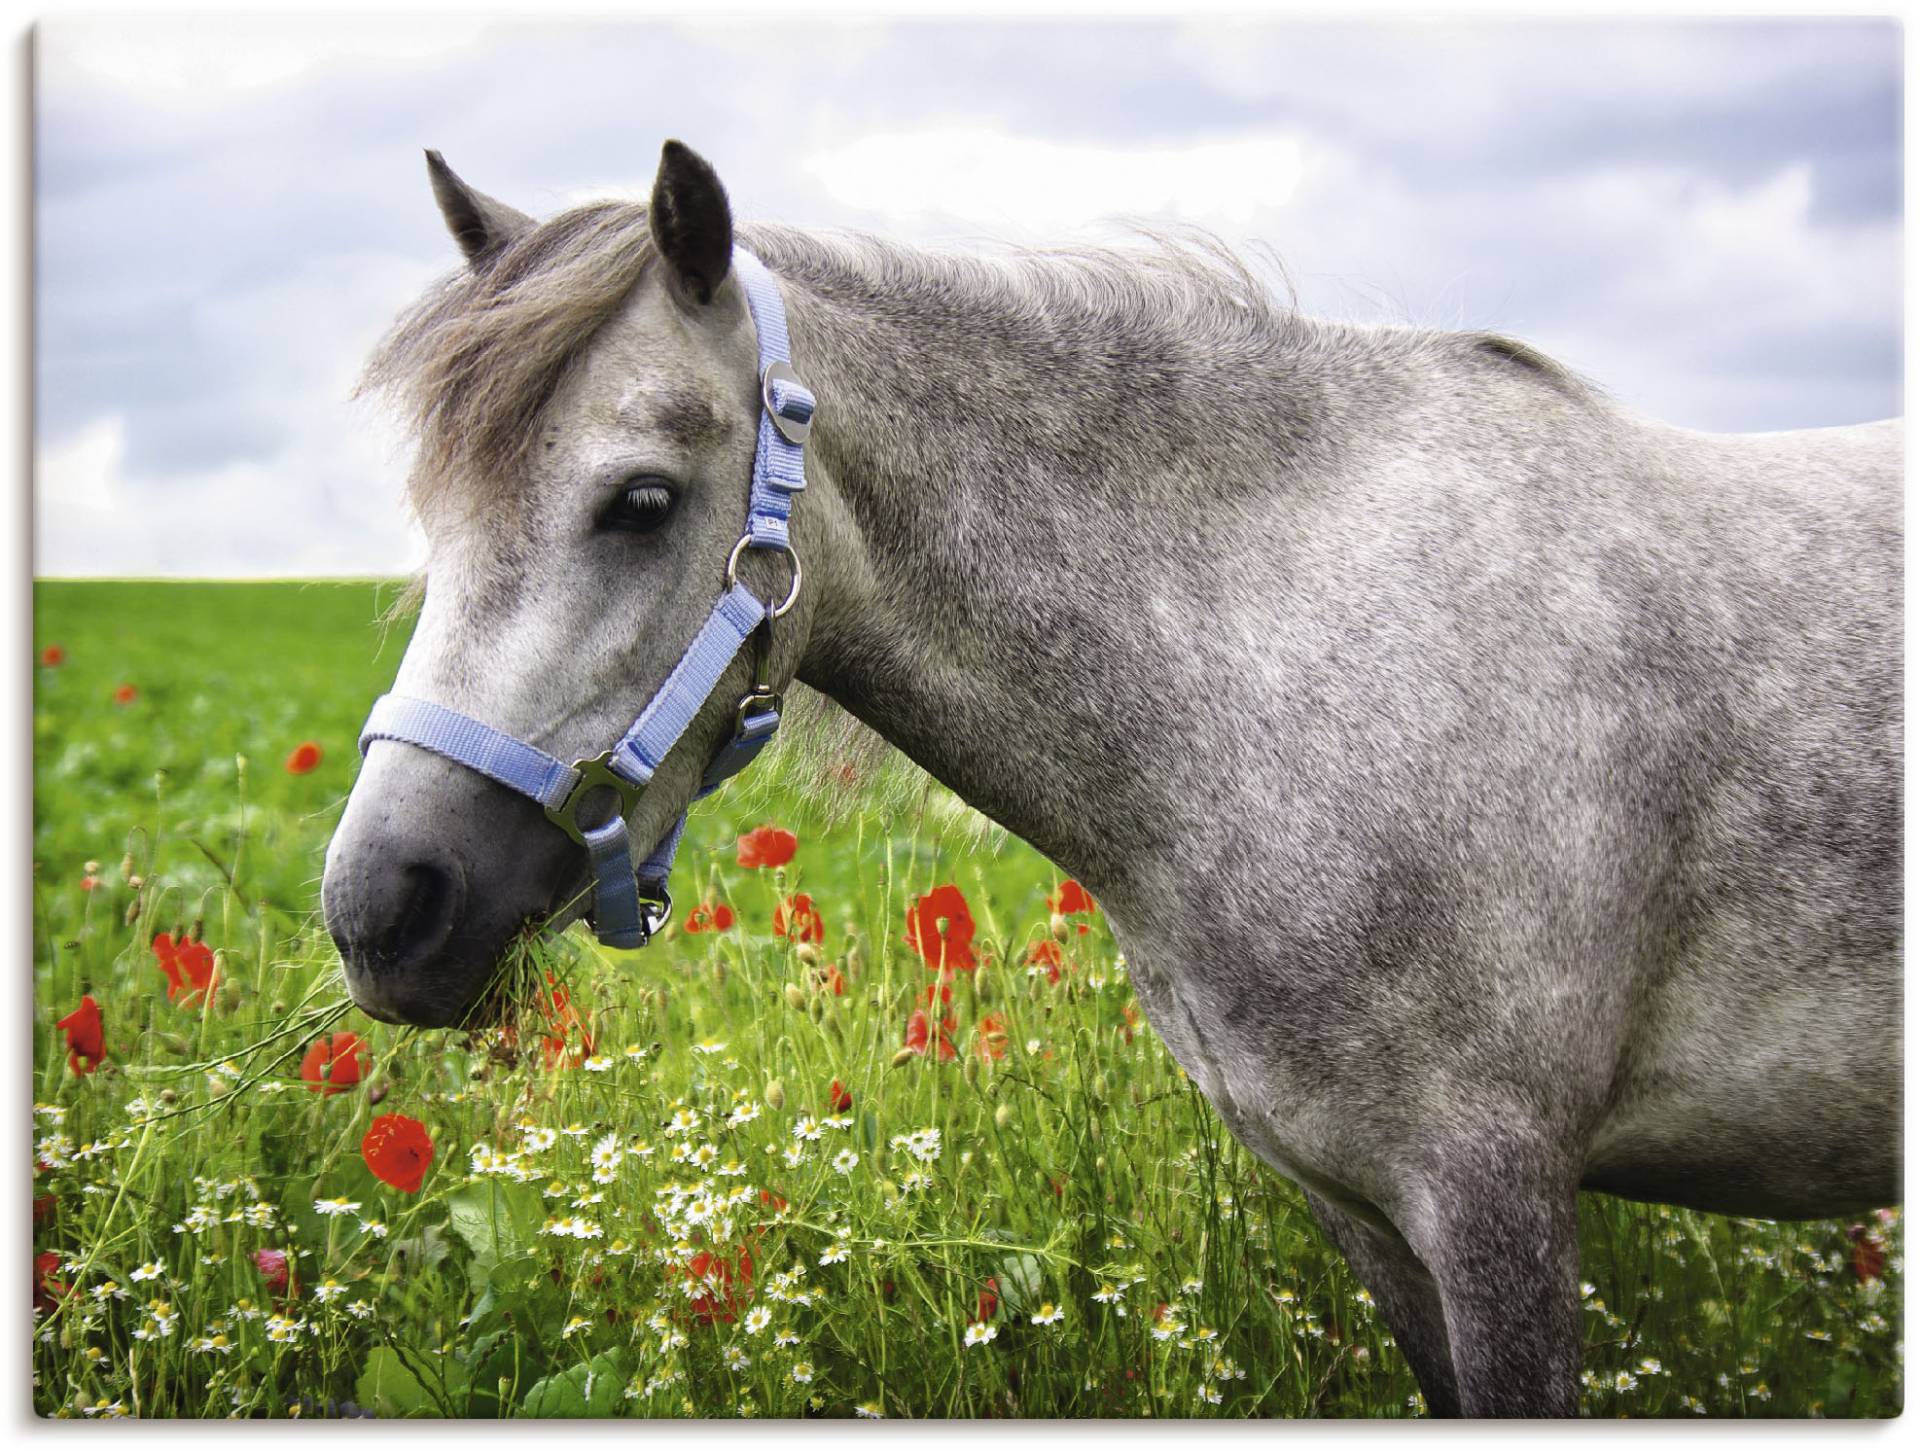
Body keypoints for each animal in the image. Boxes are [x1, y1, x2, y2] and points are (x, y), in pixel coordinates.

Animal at [322, 139, 1896, 1420]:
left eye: (641, 500)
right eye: (434, 510)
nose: (379, 909)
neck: (1288, 669)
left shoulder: (1497, 1194)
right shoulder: (1366, 1209)